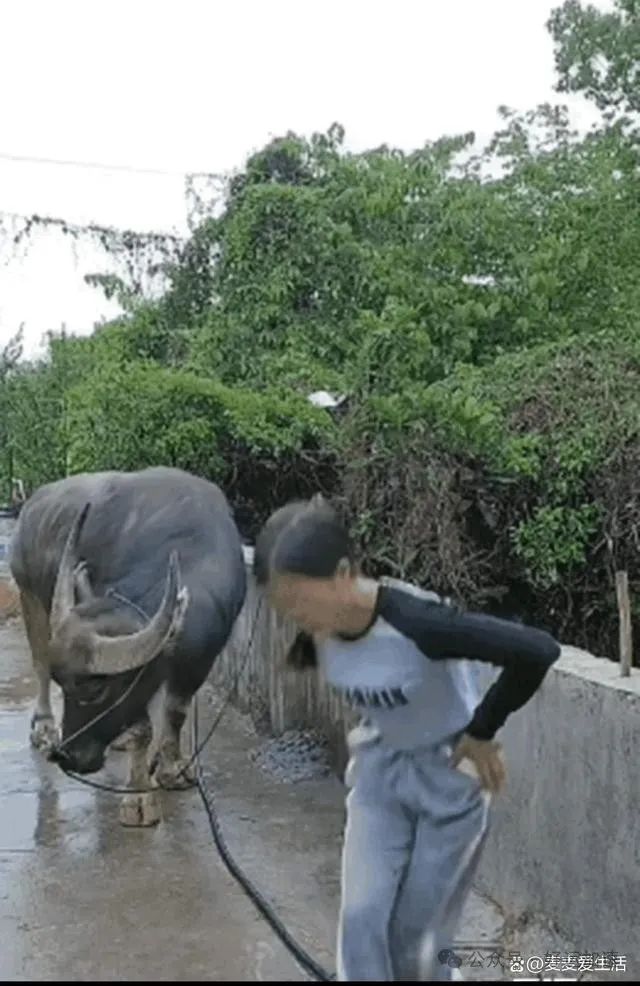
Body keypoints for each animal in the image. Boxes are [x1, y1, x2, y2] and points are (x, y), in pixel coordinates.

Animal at [10, 466, 250, 820]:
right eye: (64, 685)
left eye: (96, 689)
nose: (67, 756)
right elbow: (143, 729)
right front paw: (138, 798)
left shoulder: (200, 658)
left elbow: (175, 712)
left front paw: (172, 768)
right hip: (29, 595)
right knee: (39, 663)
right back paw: (44, 728)